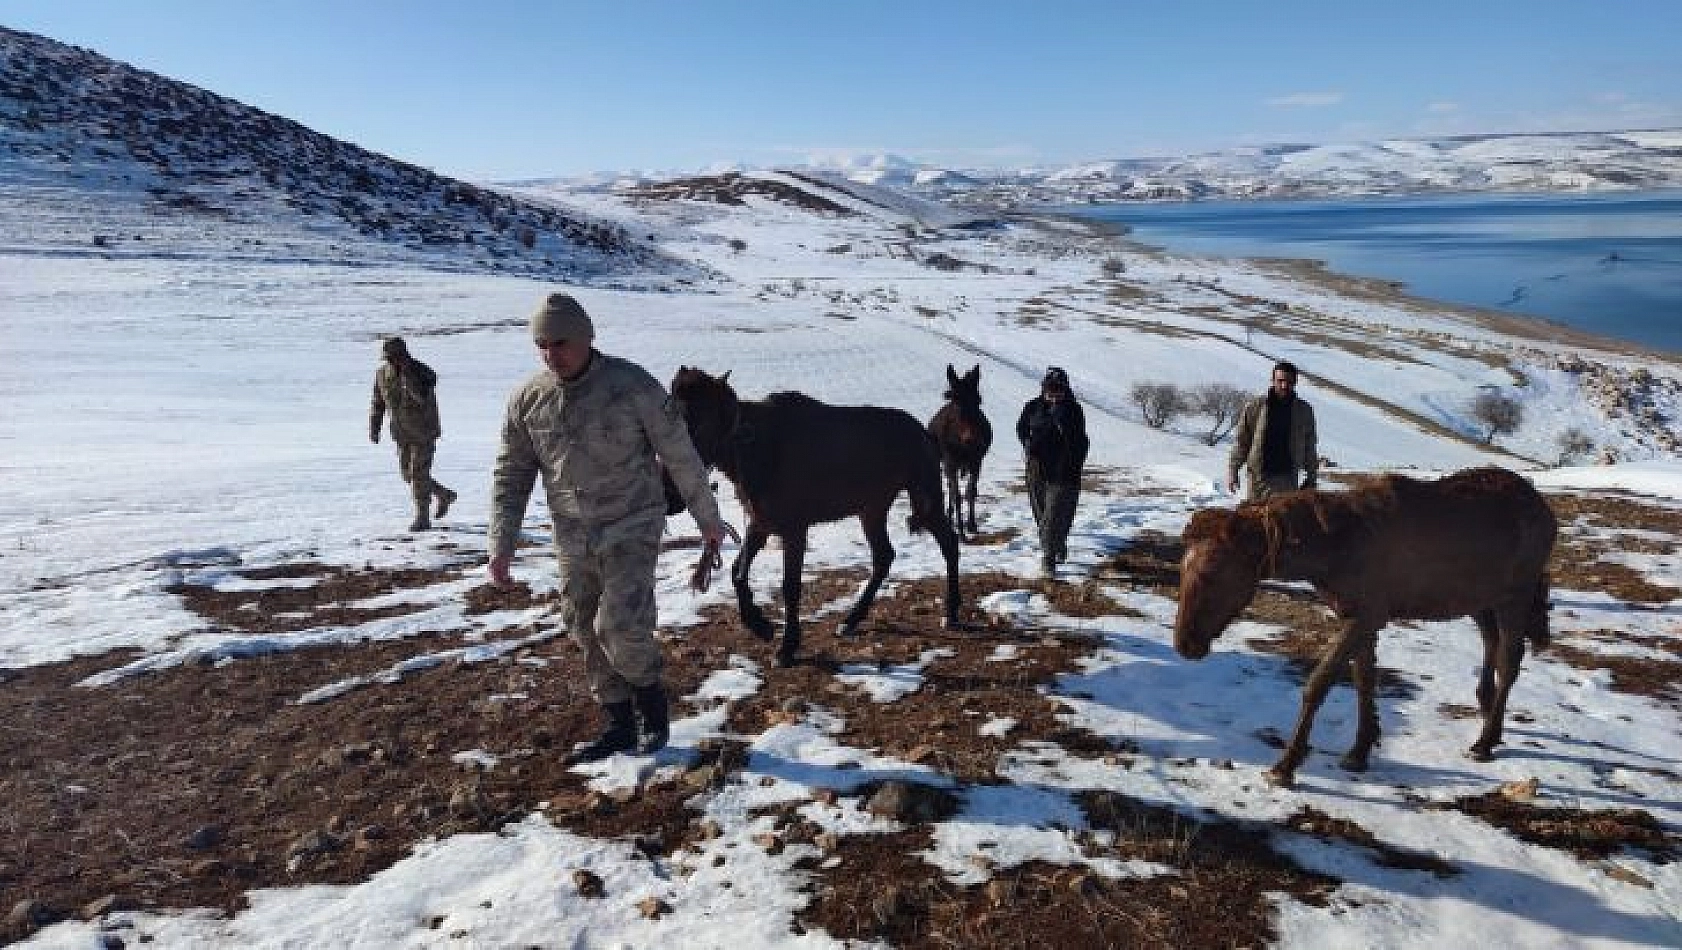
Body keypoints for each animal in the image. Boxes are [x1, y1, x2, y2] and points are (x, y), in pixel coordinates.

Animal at [666, 364, 962, 665]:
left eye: (698, 421)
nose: (670, 496)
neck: (757, 450)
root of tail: (926, 433)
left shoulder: (794, 528)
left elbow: (790, 586)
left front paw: (787, 647)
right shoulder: (761, 523)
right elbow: (738, 572)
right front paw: (760, 626)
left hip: (925, 499)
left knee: (949, 543)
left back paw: (950, 613)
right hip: (872, 509)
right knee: (884, 556)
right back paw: (850, 620)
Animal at [928, 364, 989, 541]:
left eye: (978, 400)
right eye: (955, 401)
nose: (974, 439)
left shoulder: (976, 462)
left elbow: (971, 492)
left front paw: (972, 525)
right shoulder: (950, 462)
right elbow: (957, 496)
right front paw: (961, 533)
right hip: (944, 464)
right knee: (950, 489)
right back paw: (950, 519)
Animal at [1177, 467, 1554, 786]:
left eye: (1211, 573)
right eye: (1182, 568)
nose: (1185, 644)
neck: (1334, 546)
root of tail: (1543, 509)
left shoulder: (1367, 616)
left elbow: (1320, 682)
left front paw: (1287, 764)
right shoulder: (1359, 616)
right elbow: (1364, 681)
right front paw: (1360, 749)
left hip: (1514, 597)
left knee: (1509, 662)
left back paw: (1485, 741)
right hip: (1479, 601)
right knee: (1491, 641)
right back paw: (1488, 713)